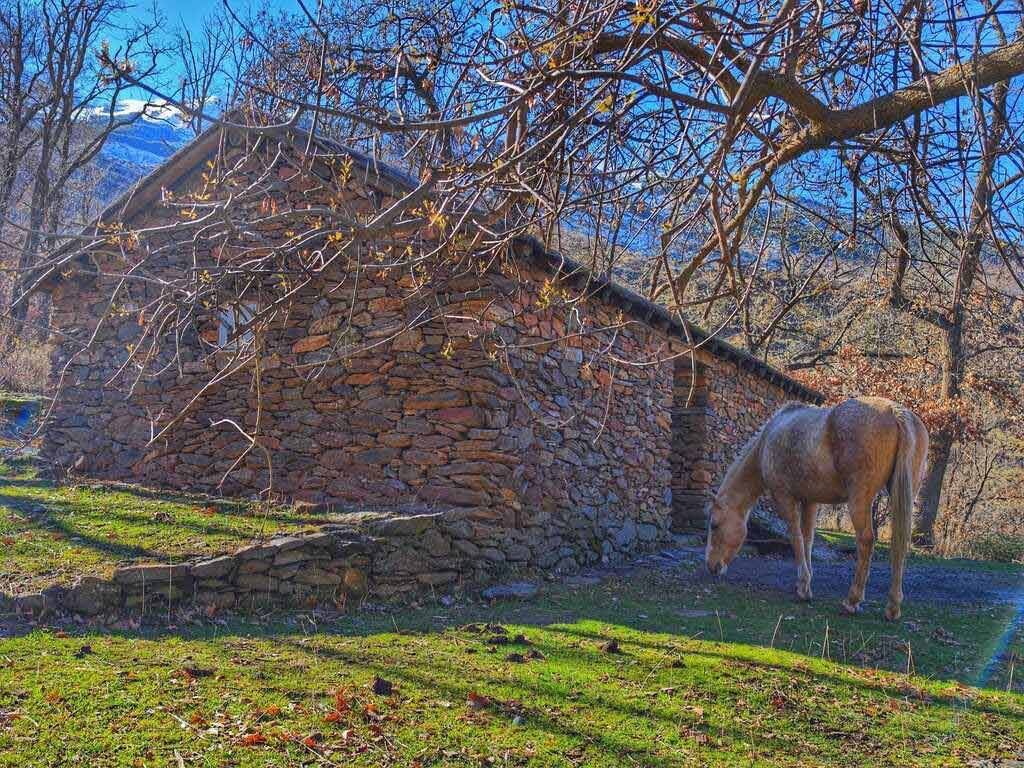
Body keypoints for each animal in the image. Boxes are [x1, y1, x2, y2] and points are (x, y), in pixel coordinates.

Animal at [704, 396, 929, 621]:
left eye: (714, 525)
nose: (711, 567)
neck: (768, 440)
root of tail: (895, 411)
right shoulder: (810, 501)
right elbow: (808, 539)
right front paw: (805, 581)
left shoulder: (785, 498)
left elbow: (796, 538)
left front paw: (804, 588)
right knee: (899, 545)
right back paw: (893, 607)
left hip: (859, 499)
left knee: (866, 541)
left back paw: (852, 601)